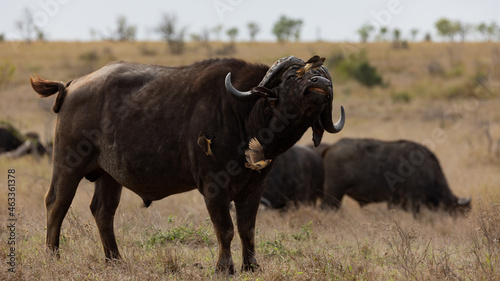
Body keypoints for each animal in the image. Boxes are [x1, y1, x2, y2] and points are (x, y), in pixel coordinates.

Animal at [30, 55, 344, 272]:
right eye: (293, 76)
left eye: (321, 75)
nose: (322, 84)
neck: (245, 114)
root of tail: (71, 85)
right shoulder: (214, 187)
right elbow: (225, 228)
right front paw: (224, 268)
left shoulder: (254, 188)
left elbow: (248, 229)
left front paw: (251, 267)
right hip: (68, 163)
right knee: (56, 203)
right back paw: (53, 256)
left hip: (110, 176)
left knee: (102, 212)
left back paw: (115, 260)